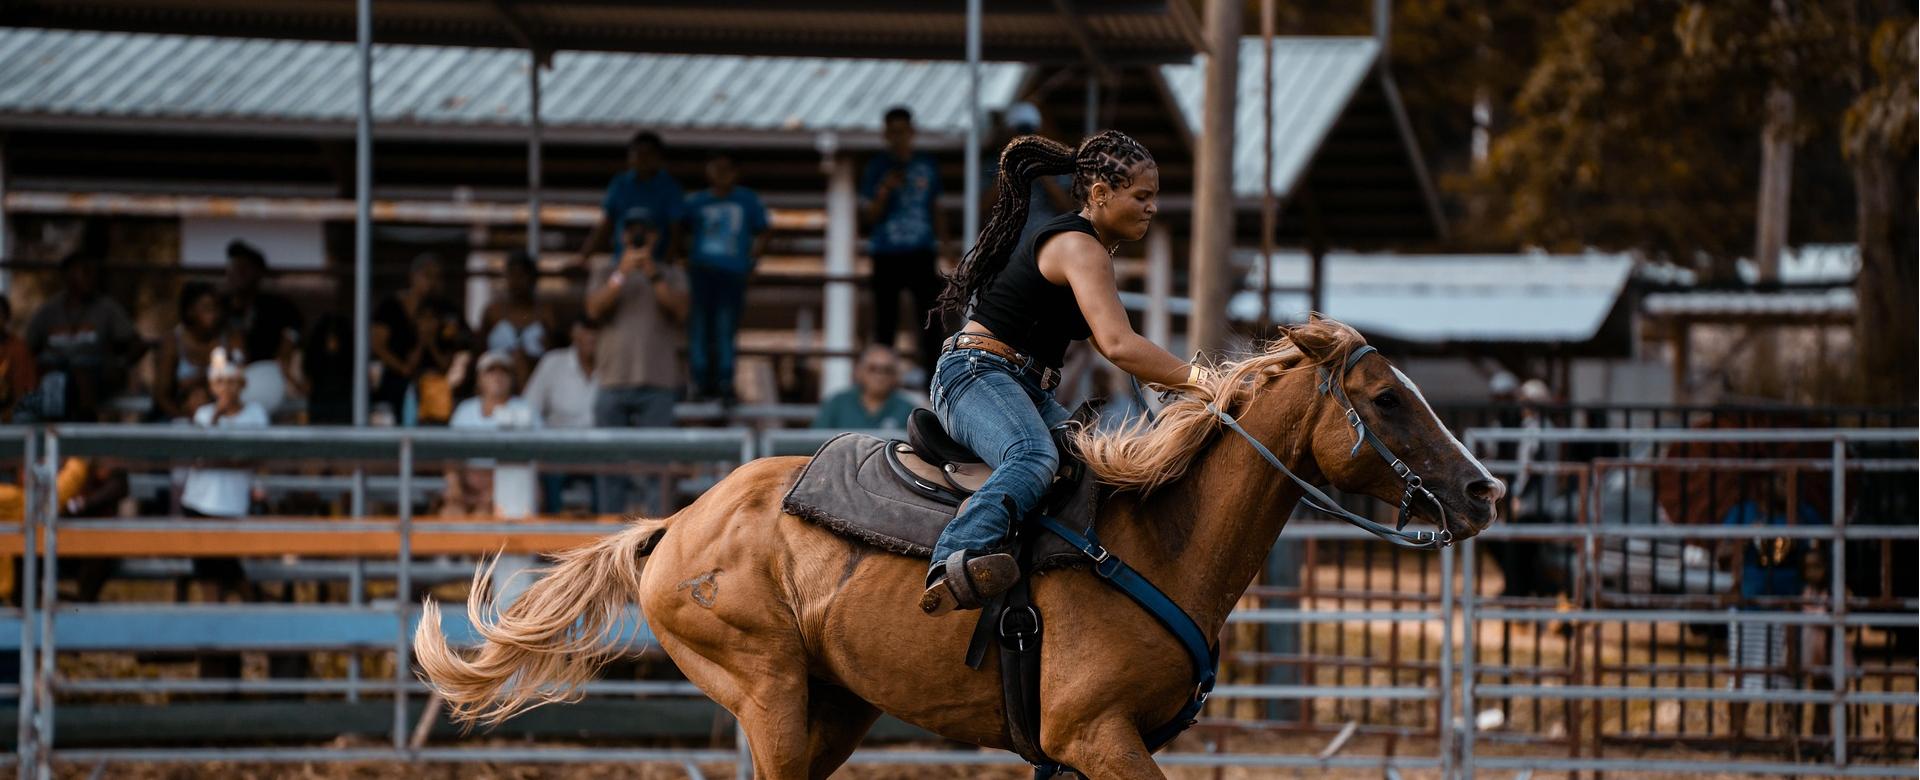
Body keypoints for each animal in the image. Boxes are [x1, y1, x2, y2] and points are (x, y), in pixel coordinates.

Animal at [413, 317, 1502, 779]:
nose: (1485, 490)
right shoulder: (1093, 735)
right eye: (1386, 398)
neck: (1158, 541)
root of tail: (676, 526)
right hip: (765, 693)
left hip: (831, 709)